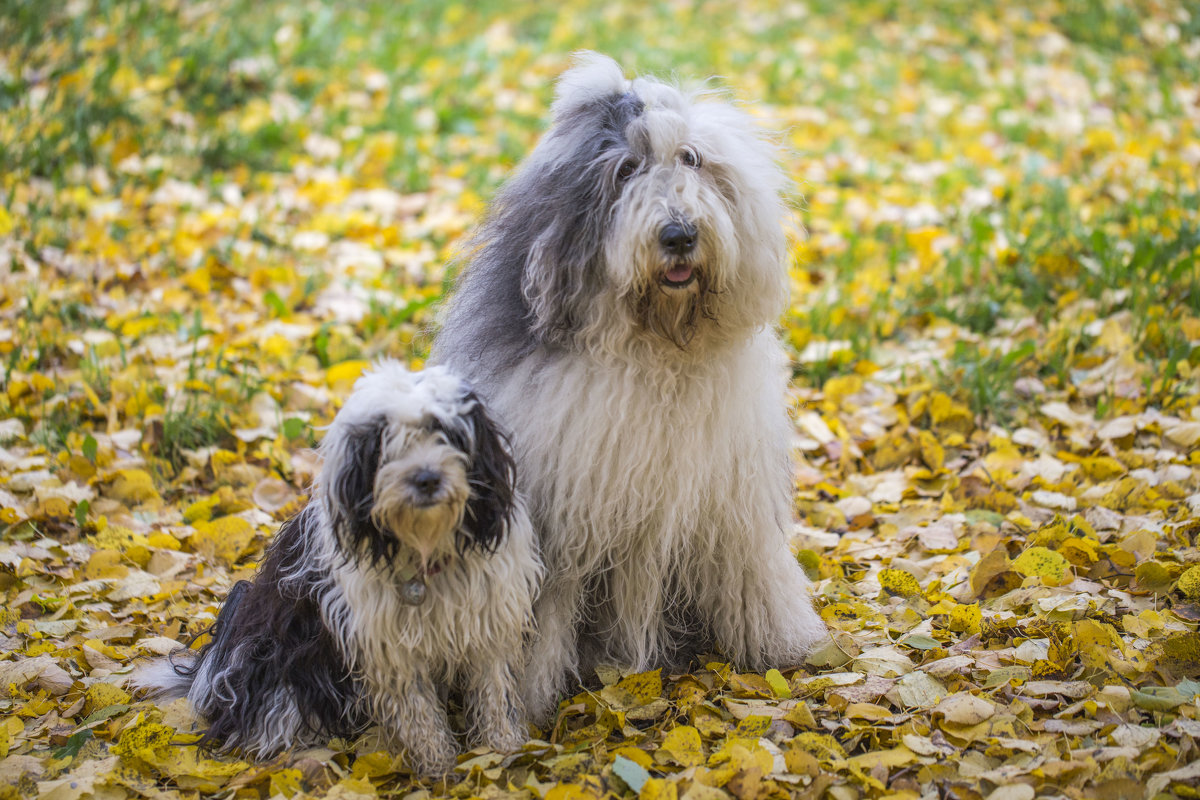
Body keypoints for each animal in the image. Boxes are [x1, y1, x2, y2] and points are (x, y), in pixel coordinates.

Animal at [133, 362, 542, 777]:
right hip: (278, 666)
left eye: (445, 434)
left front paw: (504, 751)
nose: (427, 479)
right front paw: (437, 765)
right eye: (385, 444)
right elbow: (418, 710)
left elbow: (495, 691)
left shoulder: (489, 618)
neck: (426, 545)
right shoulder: (386, 644)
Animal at [429, 53, 825, 724]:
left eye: (691, 159)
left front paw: (780, 649)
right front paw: (529, 701)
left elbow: (752, 573)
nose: (679, 234)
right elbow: (544, 611)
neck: (659, 349)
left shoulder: (731, 503)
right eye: (625, 170)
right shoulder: (560, 519)